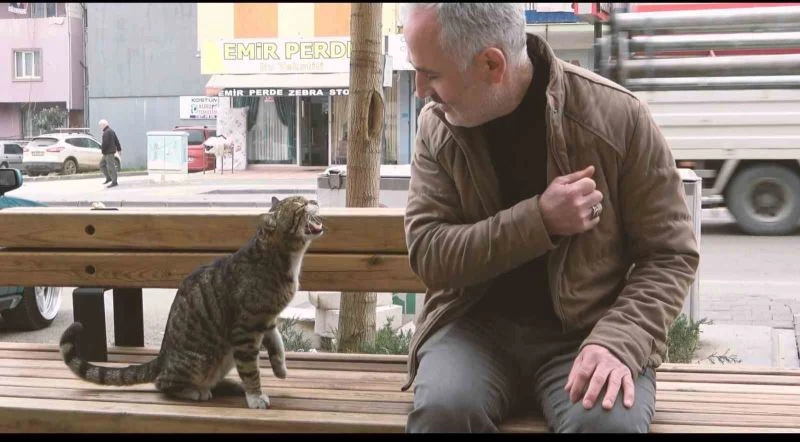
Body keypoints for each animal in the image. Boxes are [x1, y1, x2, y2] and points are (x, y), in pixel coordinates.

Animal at [57, 195, 324, 410]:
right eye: (300, 204)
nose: (314, 198)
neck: (282, 259)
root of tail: (162, 358)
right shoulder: (246, 329)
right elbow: (251, 370)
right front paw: (255, 396)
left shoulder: (266, 320)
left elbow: (277, 344)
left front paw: (280, 368)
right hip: (202, 360)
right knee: (162, 384)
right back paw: (196, 391)